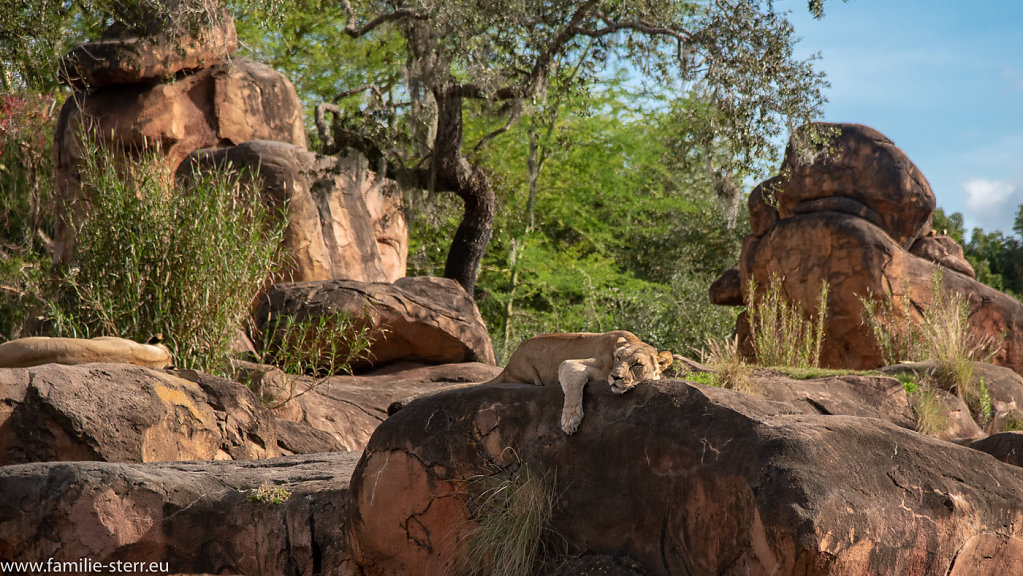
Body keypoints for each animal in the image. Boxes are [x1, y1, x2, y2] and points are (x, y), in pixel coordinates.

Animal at [484, 331, 671, 435]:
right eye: (619, 357)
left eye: (637, 365)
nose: (615, 377)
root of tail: (508, 365)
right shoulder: (569, 364)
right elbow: (573, 392)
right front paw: (570, 421)